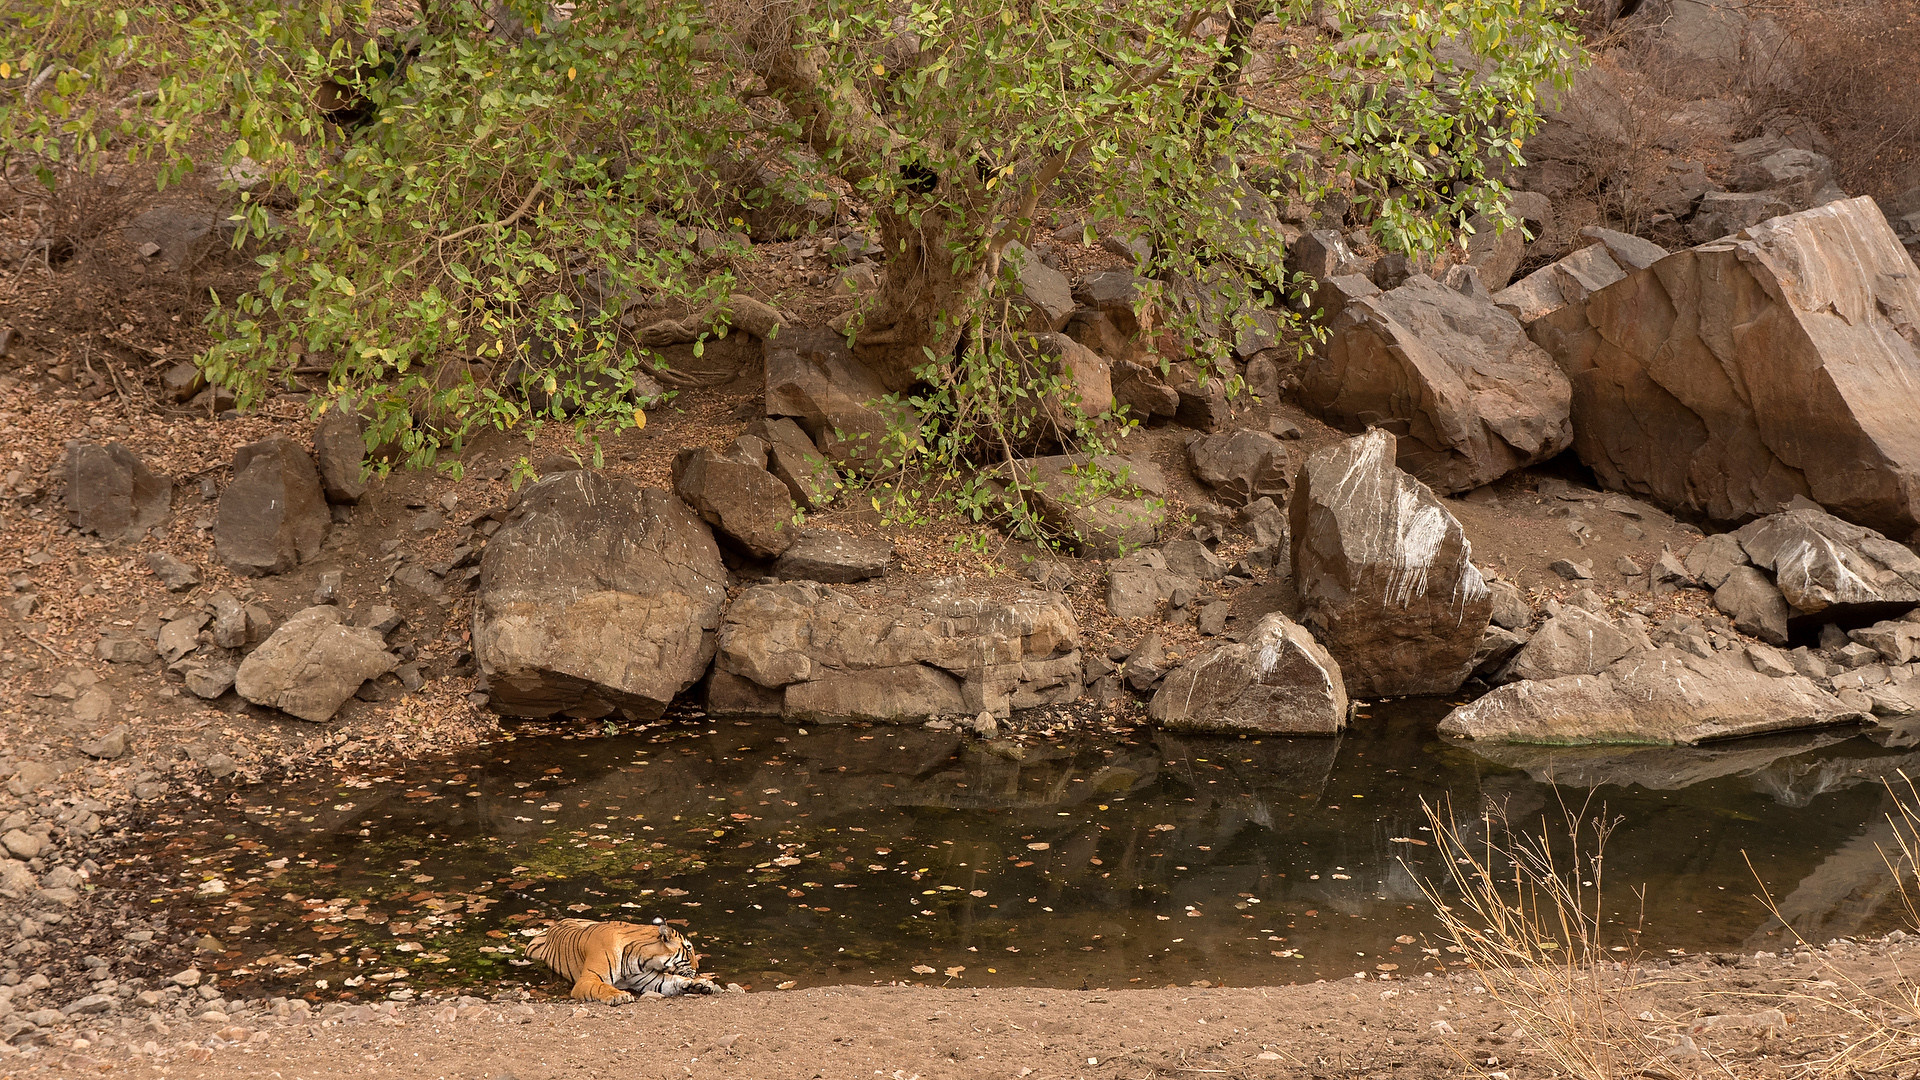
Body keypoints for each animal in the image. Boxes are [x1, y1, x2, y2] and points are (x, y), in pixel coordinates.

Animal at [525, 917, 718, 1003]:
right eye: (689, 948)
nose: (698, 965)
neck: (641, 959)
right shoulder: (587, 980)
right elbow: (602, 987)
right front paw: (618, 995)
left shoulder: (650, 979)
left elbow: (675, 980)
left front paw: (700, 984)